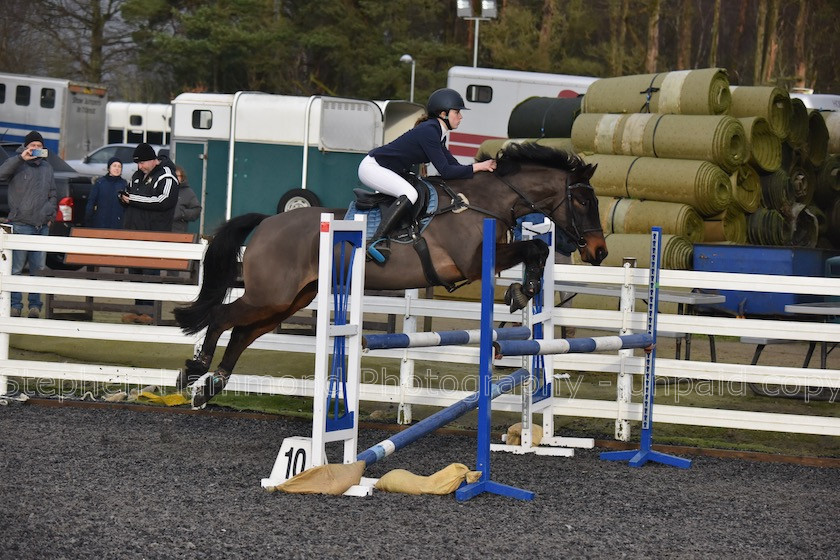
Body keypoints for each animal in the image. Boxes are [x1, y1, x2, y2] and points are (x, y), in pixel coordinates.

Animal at [174, 144, 608, 406]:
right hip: (271, 296)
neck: (482, 202)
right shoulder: (472, 262)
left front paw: (523, 290)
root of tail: (267, 222)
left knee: (242, 332)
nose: (599, 252)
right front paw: (522, 291)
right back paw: (194, 370)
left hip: (290, 300)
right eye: (584, 200)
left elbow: (538, 250)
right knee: (222, 318)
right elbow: (535, 248)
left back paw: (211, 386)